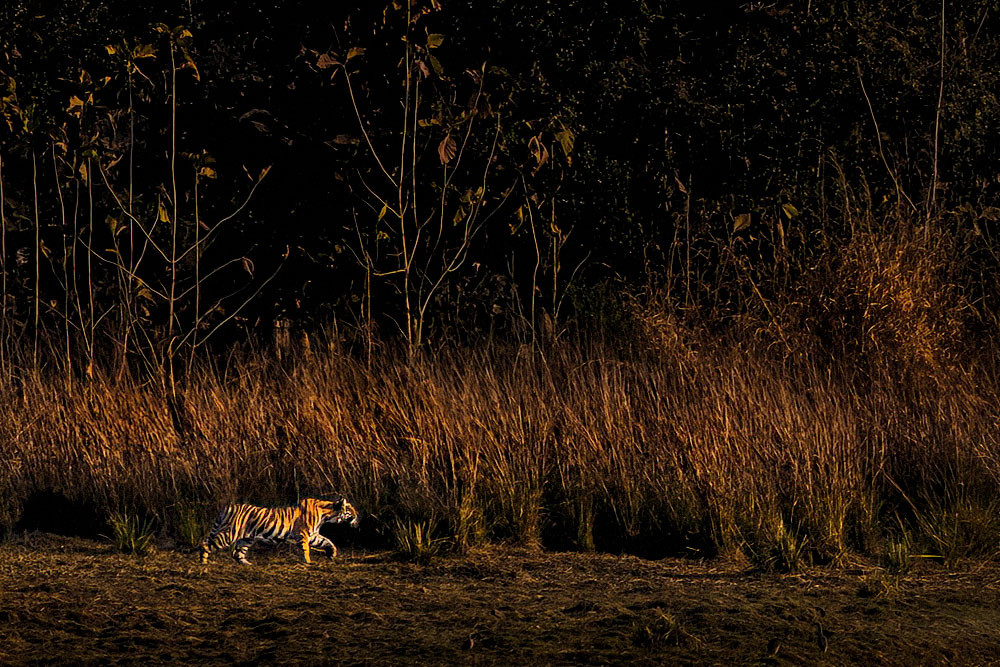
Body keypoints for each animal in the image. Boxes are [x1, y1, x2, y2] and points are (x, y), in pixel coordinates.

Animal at [200, 496, 359, 565]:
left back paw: (248, 564)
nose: (358, 516)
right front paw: (308, 562)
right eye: (351, 510)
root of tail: (227, 507)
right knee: (206, 544)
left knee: (237, 553)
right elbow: (306, 549)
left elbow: (327, 541)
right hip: (230, 534)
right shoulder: (304, 535)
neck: (326, 515)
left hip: (246, 538)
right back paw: (203, 563)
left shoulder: (314, 535)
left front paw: (332, 553)